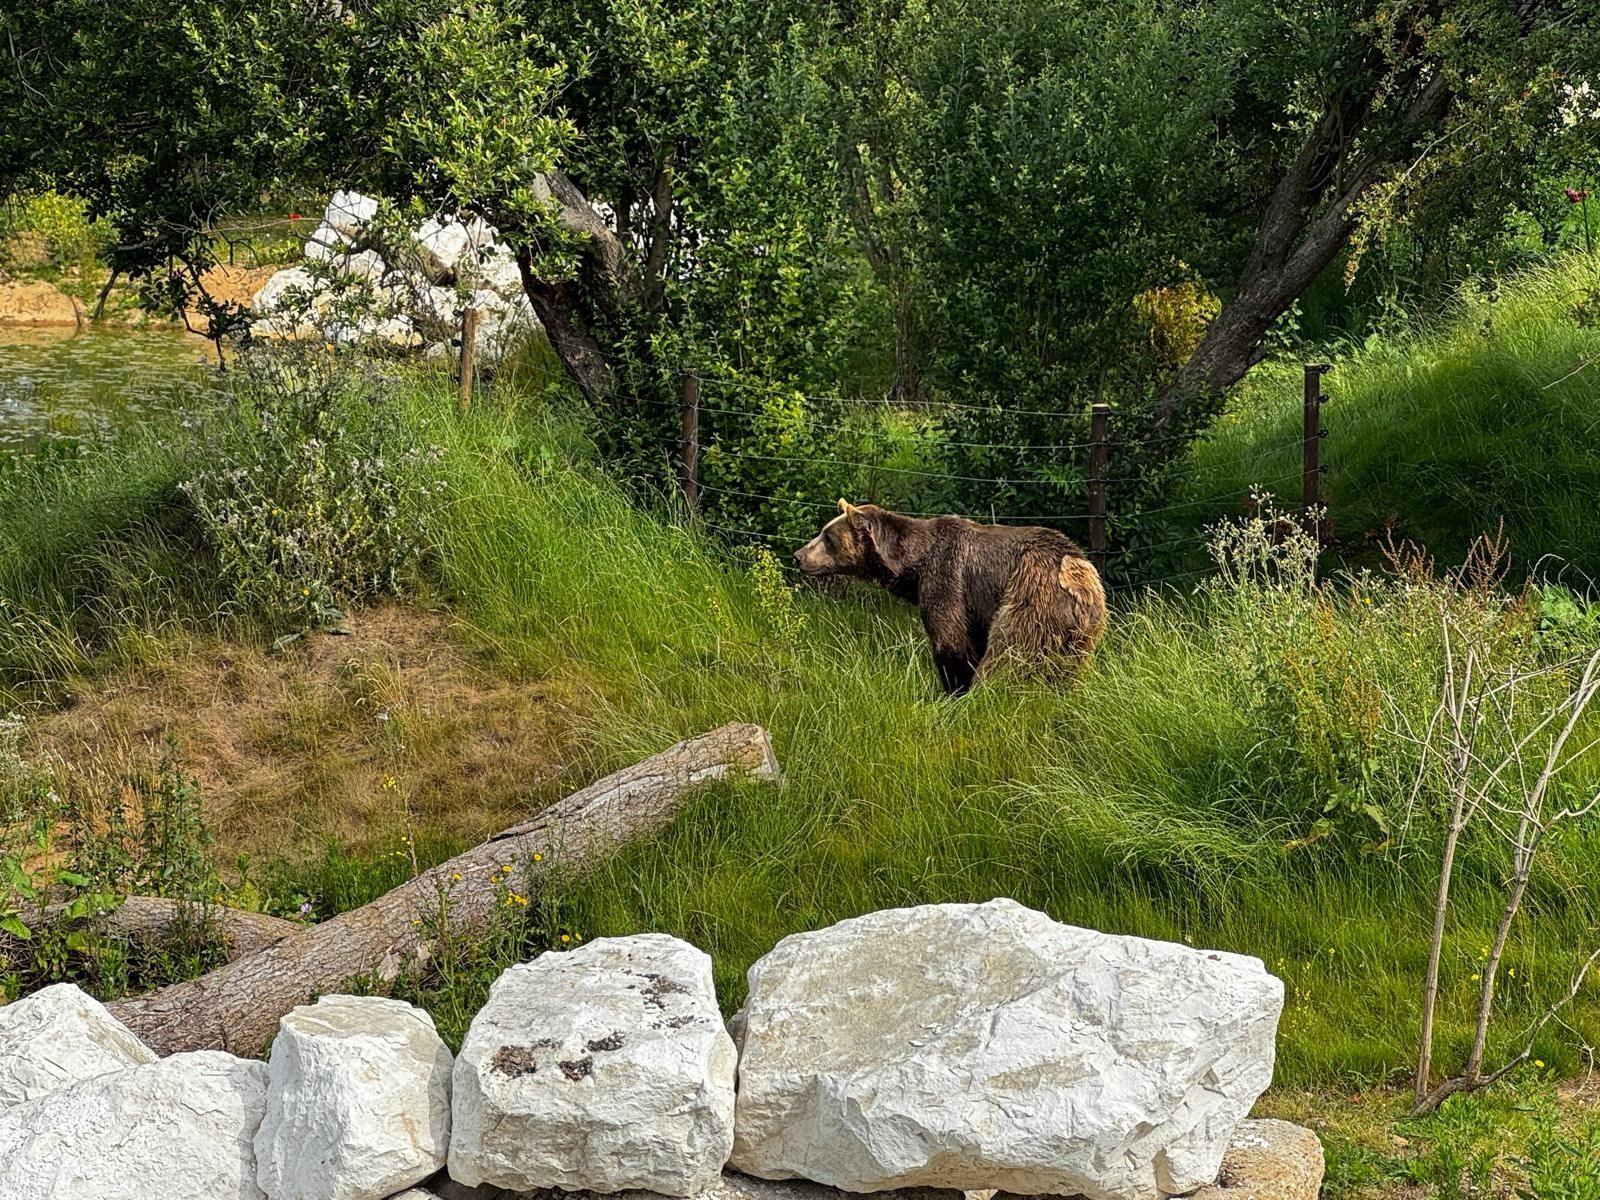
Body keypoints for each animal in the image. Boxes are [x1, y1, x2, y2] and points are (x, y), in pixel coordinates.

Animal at [794, 500, 1107, 694]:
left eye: (827, 536)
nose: (798, 556)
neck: (913, 565)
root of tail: (1077, 573)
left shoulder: (946, 577)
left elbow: (951, 641)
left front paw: (954, 690)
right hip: (1084, 634)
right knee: (1068, 672)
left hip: (1031, 597)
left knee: (1008, 655)